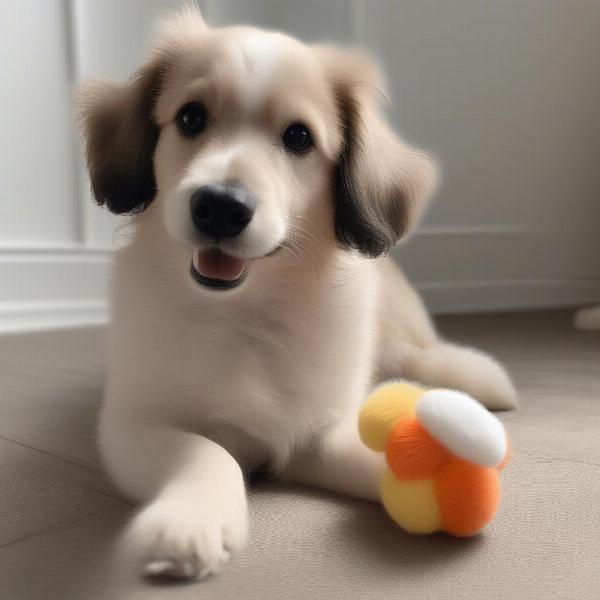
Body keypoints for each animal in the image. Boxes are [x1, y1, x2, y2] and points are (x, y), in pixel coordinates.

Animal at [77, 7, 516, 580]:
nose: (221, 206)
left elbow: (361, 449)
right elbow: (206, 450)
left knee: (422, 354)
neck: (245, 316)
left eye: (299, 137)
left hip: (398, 330)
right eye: (191, 118)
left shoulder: (317, 427)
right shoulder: (132, 422)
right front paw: (189, 520)